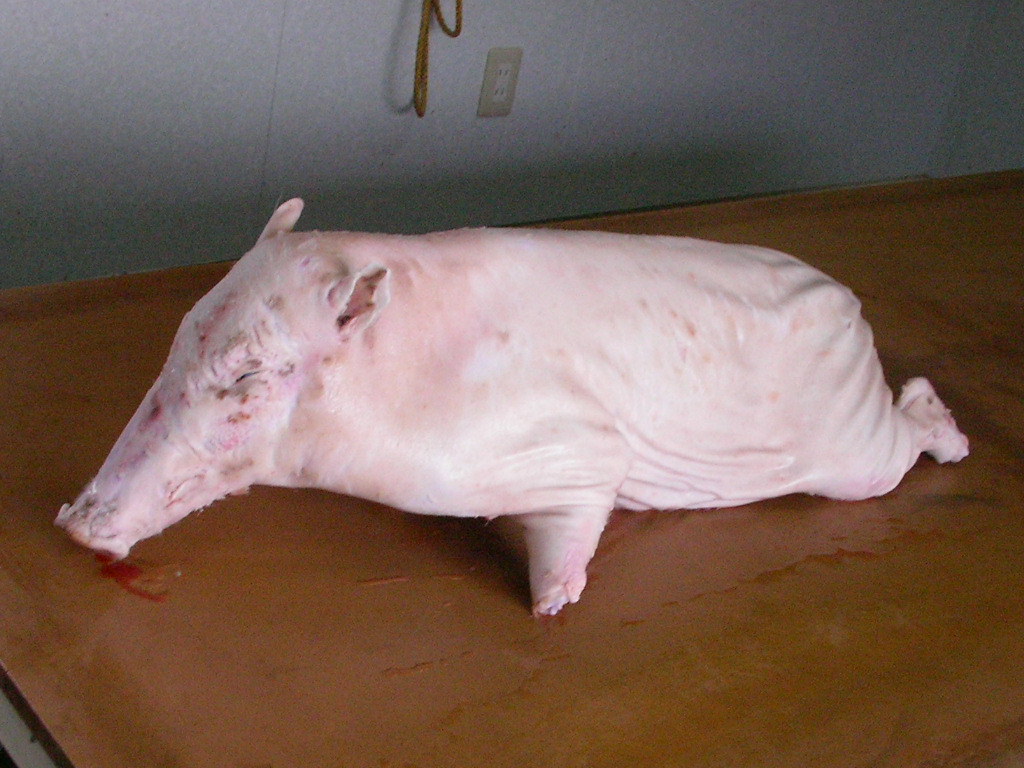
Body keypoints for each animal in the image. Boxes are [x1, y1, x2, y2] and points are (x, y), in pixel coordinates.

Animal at [56, 198, 969, 615]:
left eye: (248, 378)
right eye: (183, 333)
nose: (73, 523)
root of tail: (848, 301)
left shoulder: (572, 450)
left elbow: (578, 515)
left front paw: (551, 604)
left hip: (849, 446)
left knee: (898, 446)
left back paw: (953, 438)